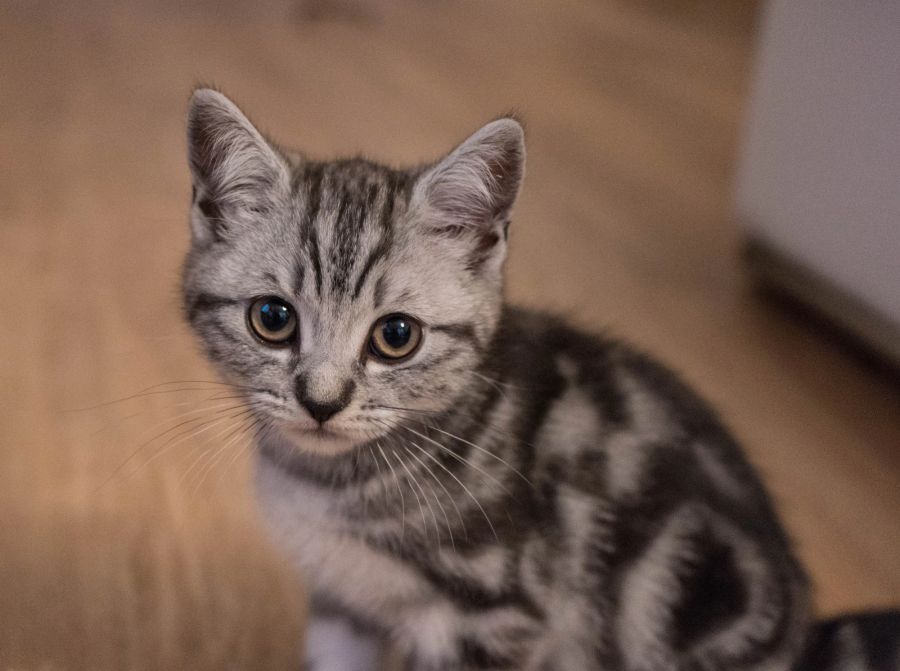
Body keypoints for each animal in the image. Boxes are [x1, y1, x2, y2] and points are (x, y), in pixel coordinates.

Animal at [183, 90, 900, 671]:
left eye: (396, 336)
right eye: (273, 319)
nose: (322, 401)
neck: (330, 481)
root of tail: (808, 637)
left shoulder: (490, 618)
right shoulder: (341, 602)